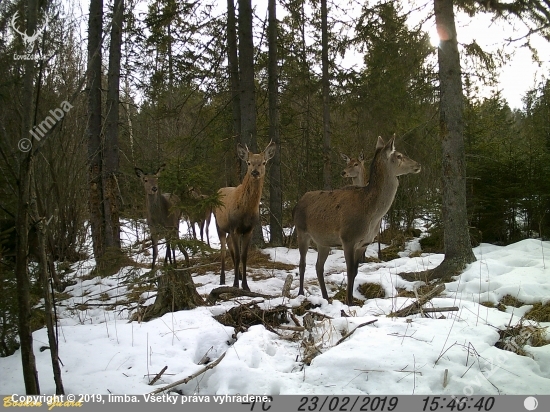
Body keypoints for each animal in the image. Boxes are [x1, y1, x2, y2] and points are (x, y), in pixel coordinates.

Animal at [215, 142, 278, 290]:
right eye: (249, 162)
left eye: (264, 162)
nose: (255, 172)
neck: (245, 211)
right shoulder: (234, 228)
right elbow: (238, 256)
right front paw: (235, 285)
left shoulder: (249, 229)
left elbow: (244, 256)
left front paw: (245, 284)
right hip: (219, 225)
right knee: (223, 249)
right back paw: (222, 279)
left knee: (229, 244)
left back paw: (237, 275)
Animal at [296, 136, 420, 306]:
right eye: (399, 155)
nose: (418, 165)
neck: (370, 214)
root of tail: (298, 201)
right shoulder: (348, 238)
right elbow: (349, 270)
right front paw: (349, 301)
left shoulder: (364, 243)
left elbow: (355, 271)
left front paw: (351, 299)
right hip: (301, 230)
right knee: (302, 264)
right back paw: (301, 293)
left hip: (323, 241)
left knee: (318, 266)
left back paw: (326, 297)